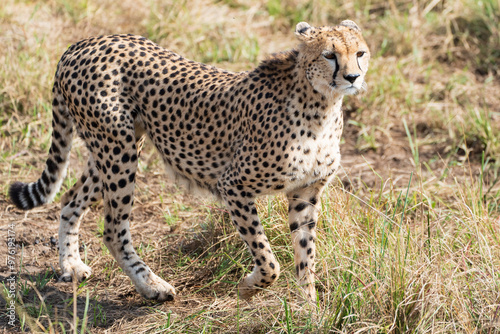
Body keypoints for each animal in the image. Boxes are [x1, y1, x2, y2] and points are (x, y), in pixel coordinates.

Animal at [9, 20, 372, 302]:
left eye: (360, 53)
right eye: (329, 55)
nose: (353, 77)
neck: (322, 106)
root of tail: (84, 43)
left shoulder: (304, 194)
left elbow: (304, 256)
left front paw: (308, 308)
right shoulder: (233, 185)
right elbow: (269, 260)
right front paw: (249, 287)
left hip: (114, 148)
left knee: (70, 199)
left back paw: (71, 265)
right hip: (118, 150)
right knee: (113, 228)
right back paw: (152, 286)